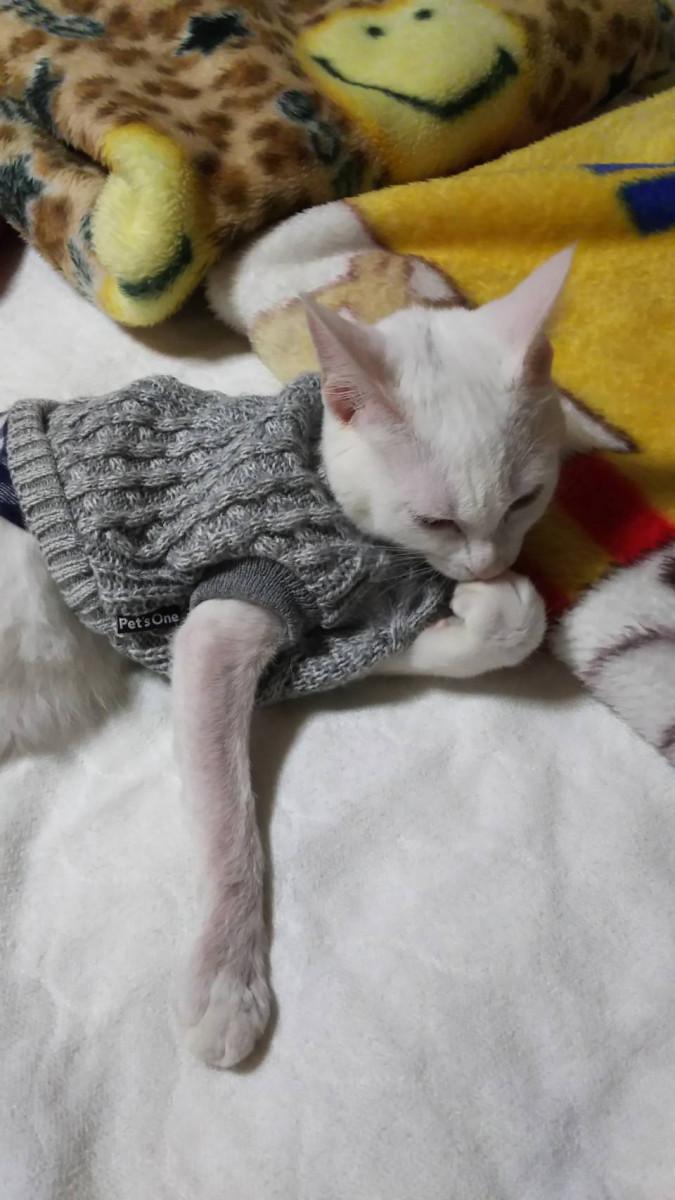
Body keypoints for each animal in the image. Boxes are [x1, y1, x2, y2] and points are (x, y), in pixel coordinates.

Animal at [0, 247, 614, 1069]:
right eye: (436, 519)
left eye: (526, 499)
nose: (488, 562)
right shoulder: (223, 620)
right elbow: (228, 825)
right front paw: (227, 984)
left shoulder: (337, 628)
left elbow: (498, 626)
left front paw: (489, 605)